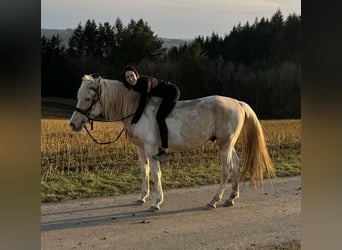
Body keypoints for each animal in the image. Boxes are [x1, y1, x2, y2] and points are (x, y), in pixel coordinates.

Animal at [69, 75, 276, 210]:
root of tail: (237, 103)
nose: (73, 124)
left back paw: (214, 200)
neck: (137, 110)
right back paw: (231, 198)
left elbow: (155, 174)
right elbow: (144, 172)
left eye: (88, 98)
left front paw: (156, 202)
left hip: (224, 146)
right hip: (228, 144)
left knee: (226, 170)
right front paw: (142, 197)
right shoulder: (140, 148)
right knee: (236, 165)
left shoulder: (151, 148)